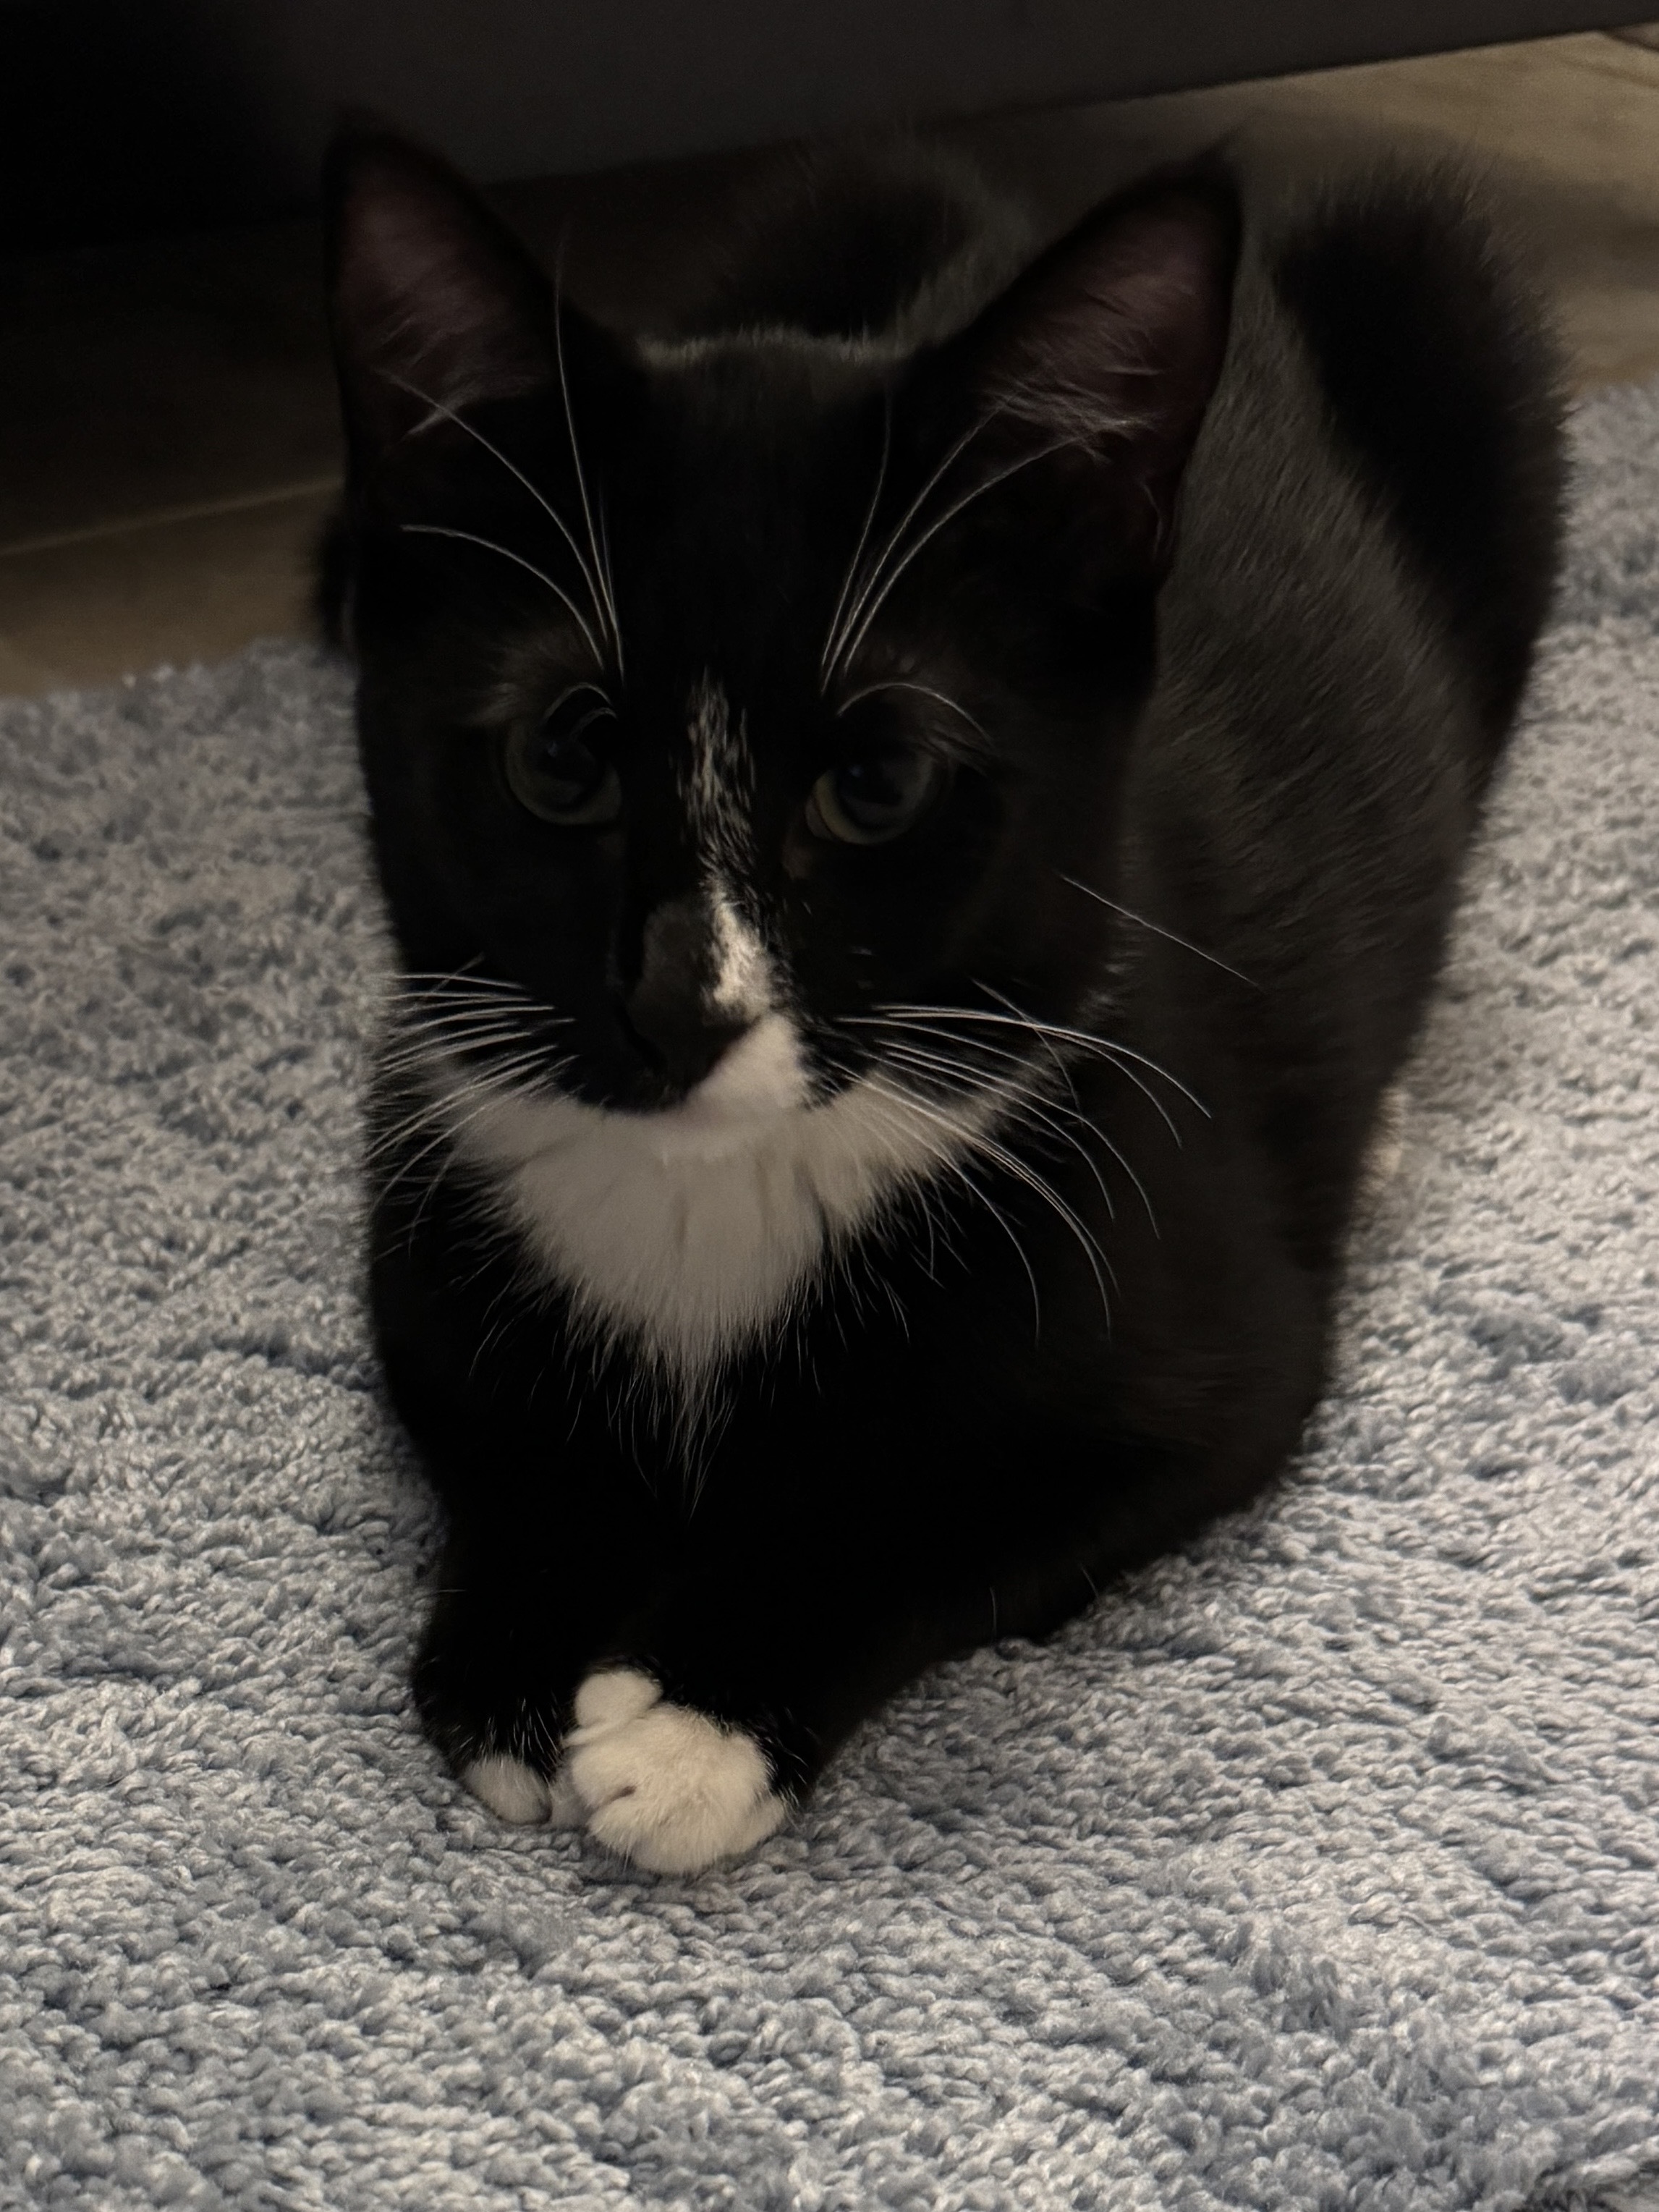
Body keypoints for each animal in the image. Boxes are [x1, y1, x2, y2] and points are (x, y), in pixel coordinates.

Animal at [321, 129, 1557, 1876]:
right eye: (559, 755)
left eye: (879, 782)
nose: (679, 1009)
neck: (718, 1190)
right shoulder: (426, 1186)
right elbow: (472, 1407)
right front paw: (524, 1648)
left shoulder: (1204, 1323)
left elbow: (941, 1512)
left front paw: (689, 1722)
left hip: (1460, 315)